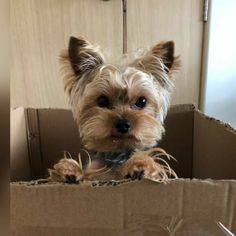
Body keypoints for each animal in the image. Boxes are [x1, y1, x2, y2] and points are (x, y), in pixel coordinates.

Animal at [48, 36, 180, 183]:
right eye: (102, 100)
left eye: (142, 101)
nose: (123, 124)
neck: (116, 155)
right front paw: (67, 170)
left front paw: (140, 164)